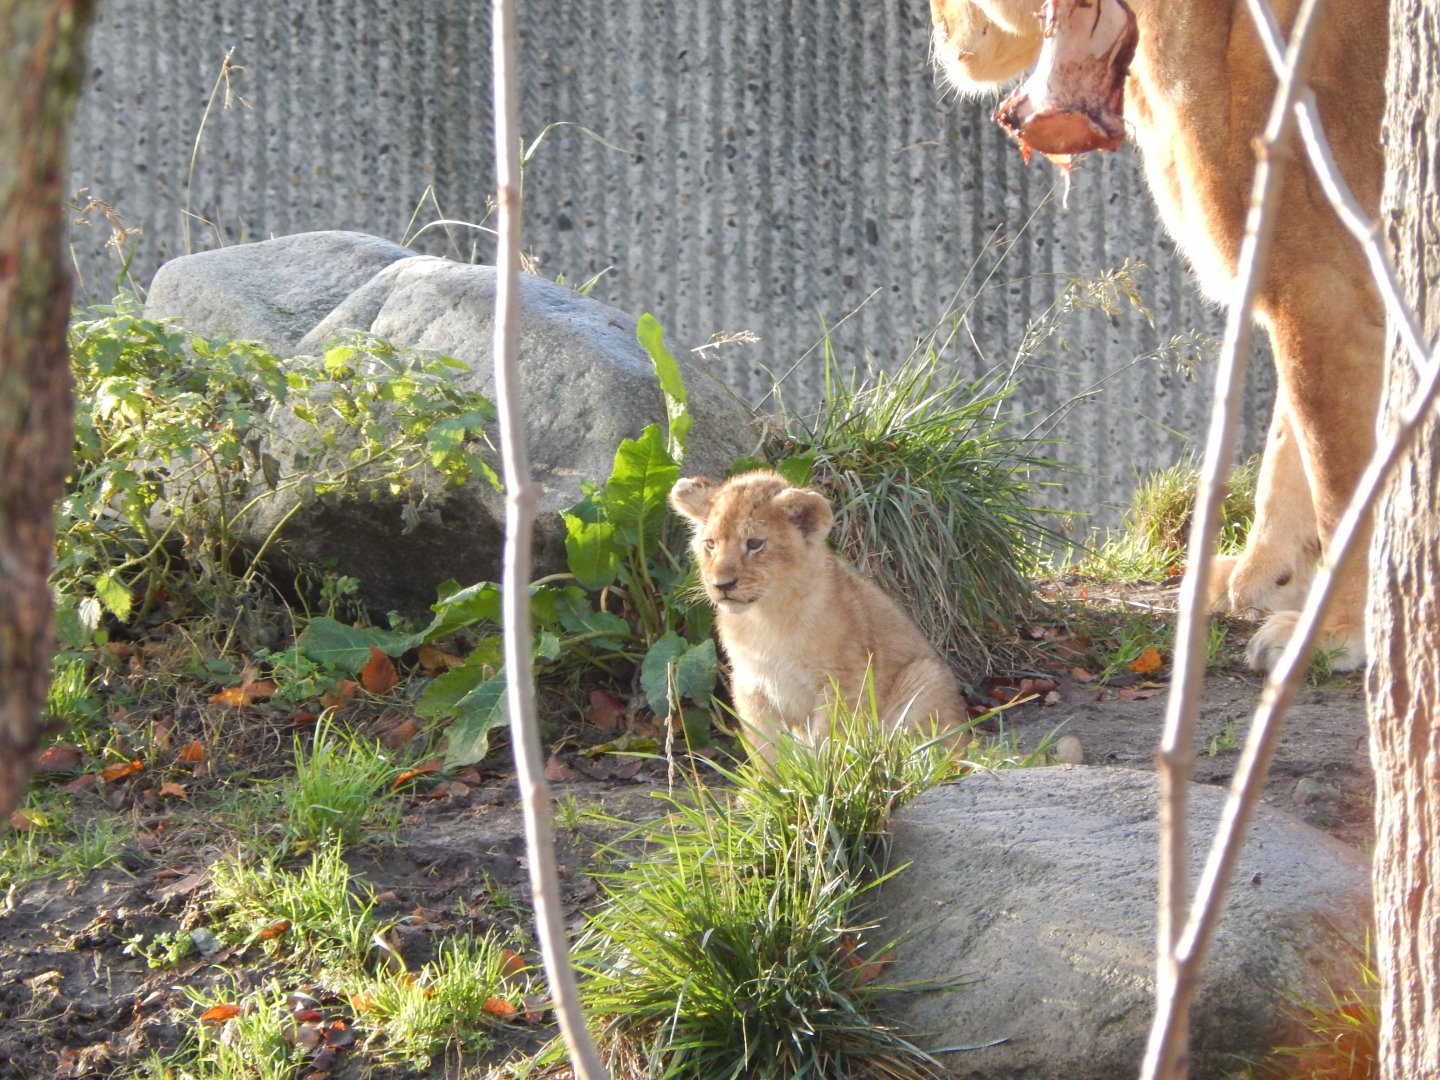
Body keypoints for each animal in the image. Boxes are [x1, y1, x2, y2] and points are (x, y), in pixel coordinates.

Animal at [668, 470, 969, 764]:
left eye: (753, 543)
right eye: (710, 544)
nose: (722, 585)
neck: (766, 616)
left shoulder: (843, 682)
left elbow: (829, 741)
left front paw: (826, 775)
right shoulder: (751, 684)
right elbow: (766, 749)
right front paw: (774, 779)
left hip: (925, 678)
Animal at [928, 0, 1388, 671]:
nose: (937, 29)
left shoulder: (1324, 286)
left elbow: (1340, 484)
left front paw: (1336, 631)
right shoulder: (1298, 287)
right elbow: (1286, 459)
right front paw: (1262, 582)